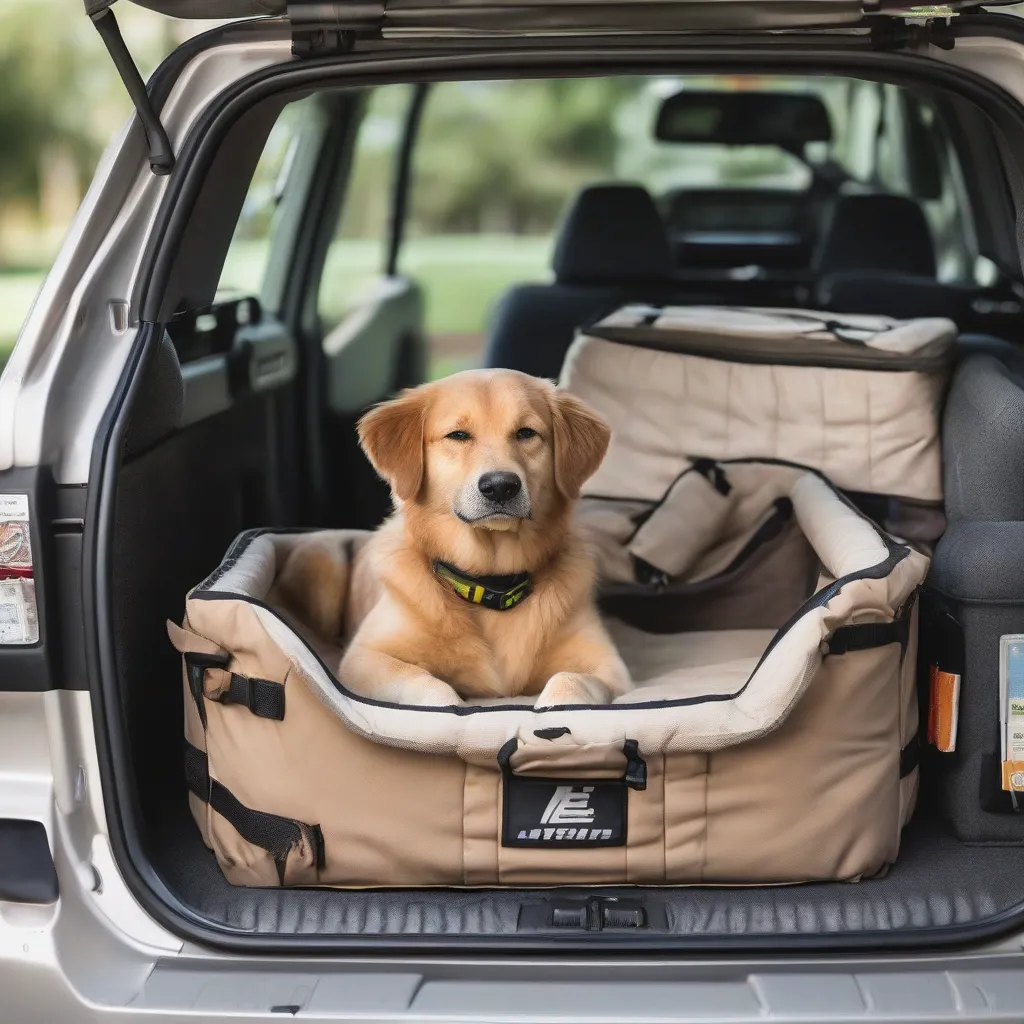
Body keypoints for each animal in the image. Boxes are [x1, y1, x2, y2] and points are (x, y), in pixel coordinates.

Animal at [276, 368, 626, 712]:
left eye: (526, 433)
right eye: (458, 435)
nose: (501, 487)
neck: (491, 580)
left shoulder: (609, 666)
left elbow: (569, 681)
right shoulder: (364, 659)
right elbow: (430, 687)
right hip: (321, 560)